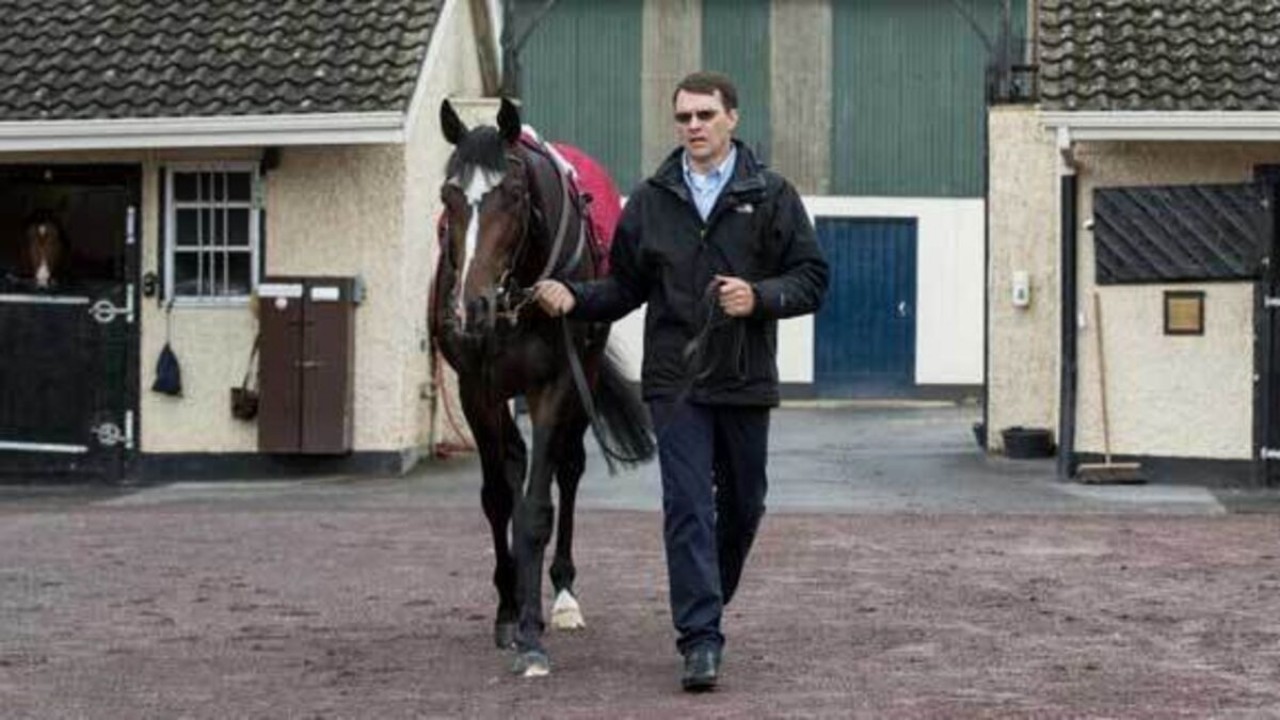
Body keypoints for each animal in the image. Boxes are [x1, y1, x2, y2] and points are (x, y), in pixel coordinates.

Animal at [432, 95, 655, 671]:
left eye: (511, 194)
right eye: (448, 196)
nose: (471, 305)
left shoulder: (555, 386)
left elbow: (535, 510)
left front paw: (533, 632)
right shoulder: (477, 390)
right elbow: (498, 498)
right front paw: (509, 614)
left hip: (584, 377)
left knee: (569, 470)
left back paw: (564, 595)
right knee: (514, 467)